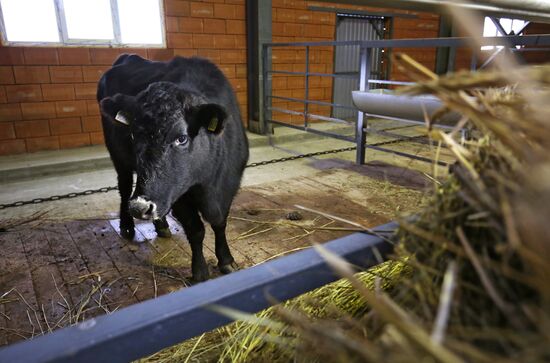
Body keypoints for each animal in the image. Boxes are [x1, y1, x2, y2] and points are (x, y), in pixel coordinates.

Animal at [97, 53, 250, 282]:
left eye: (182, 138)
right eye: (133, 135)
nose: (139, 207)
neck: (208, 184)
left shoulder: (229, 184)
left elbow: (220, 222)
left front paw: (226, 260)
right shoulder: (179, 196)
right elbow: (196, 230)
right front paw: (200, 271)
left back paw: (160, 225)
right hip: (118, 157)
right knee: (124, 187)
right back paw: (126, 225)